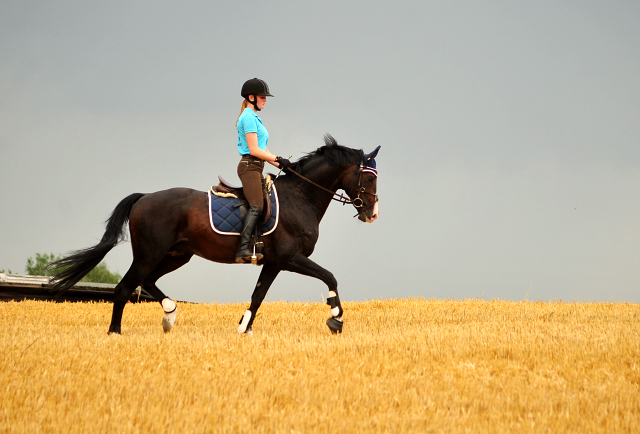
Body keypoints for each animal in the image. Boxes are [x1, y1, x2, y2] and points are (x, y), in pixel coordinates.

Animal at [51, 136, 380, 336]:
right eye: (367, 177)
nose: (372, 213)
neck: (300, 197)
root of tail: (144, 198)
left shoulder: (273, 263)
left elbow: (258, 295)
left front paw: (244, 328)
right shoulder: (290, 258)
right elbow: (330, 276)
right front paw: (336, 318)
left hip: (177, 255)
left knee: (148, 282)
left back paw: (169, 313)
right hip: (149, 253)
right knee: (124, 289)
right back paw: (115, 333)